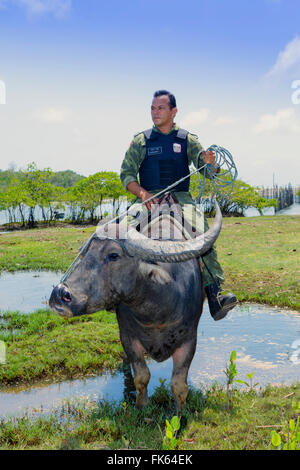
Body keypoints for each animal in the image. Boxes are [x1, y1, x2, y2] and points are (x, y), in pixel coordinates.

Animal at [49, 196, 223, 410]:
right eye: (85, 252)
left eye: (114, 255)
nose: (60, 294)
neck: (156, 313)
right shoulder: (128, 337)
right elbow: (141, 376)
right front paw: (141, 406)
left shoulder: (190, 339)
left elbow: (179, 385)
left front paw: (179, 412)